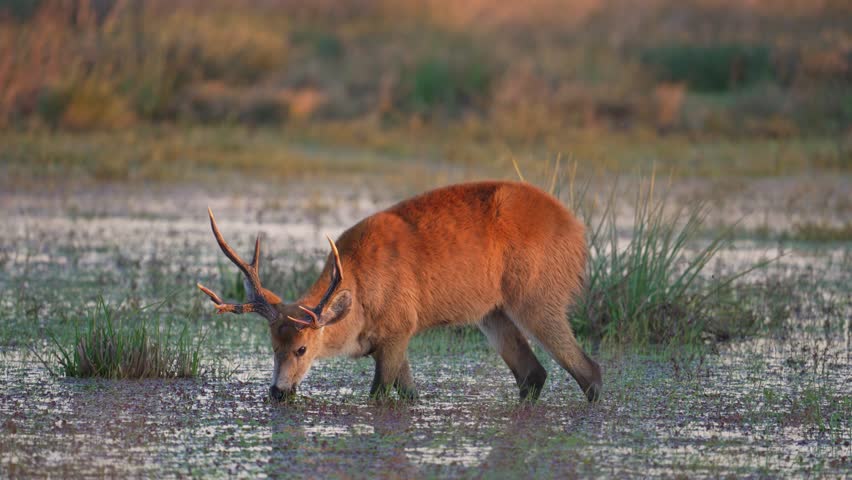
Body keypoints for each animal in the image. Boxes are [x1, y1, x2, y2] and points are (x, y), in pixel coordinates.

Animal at [197, 181, 602, 403]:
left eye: (302, 348)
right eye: (271, 346)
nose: (278, 392)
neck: (361, 295)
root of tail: (577, 231)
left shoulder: (398, 329)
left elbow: (378, 395)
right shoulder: (395, 338)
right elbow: (409, 396)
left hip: (538, 296)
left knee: (589, 369)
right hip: (493, 312)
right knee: (534, 374)